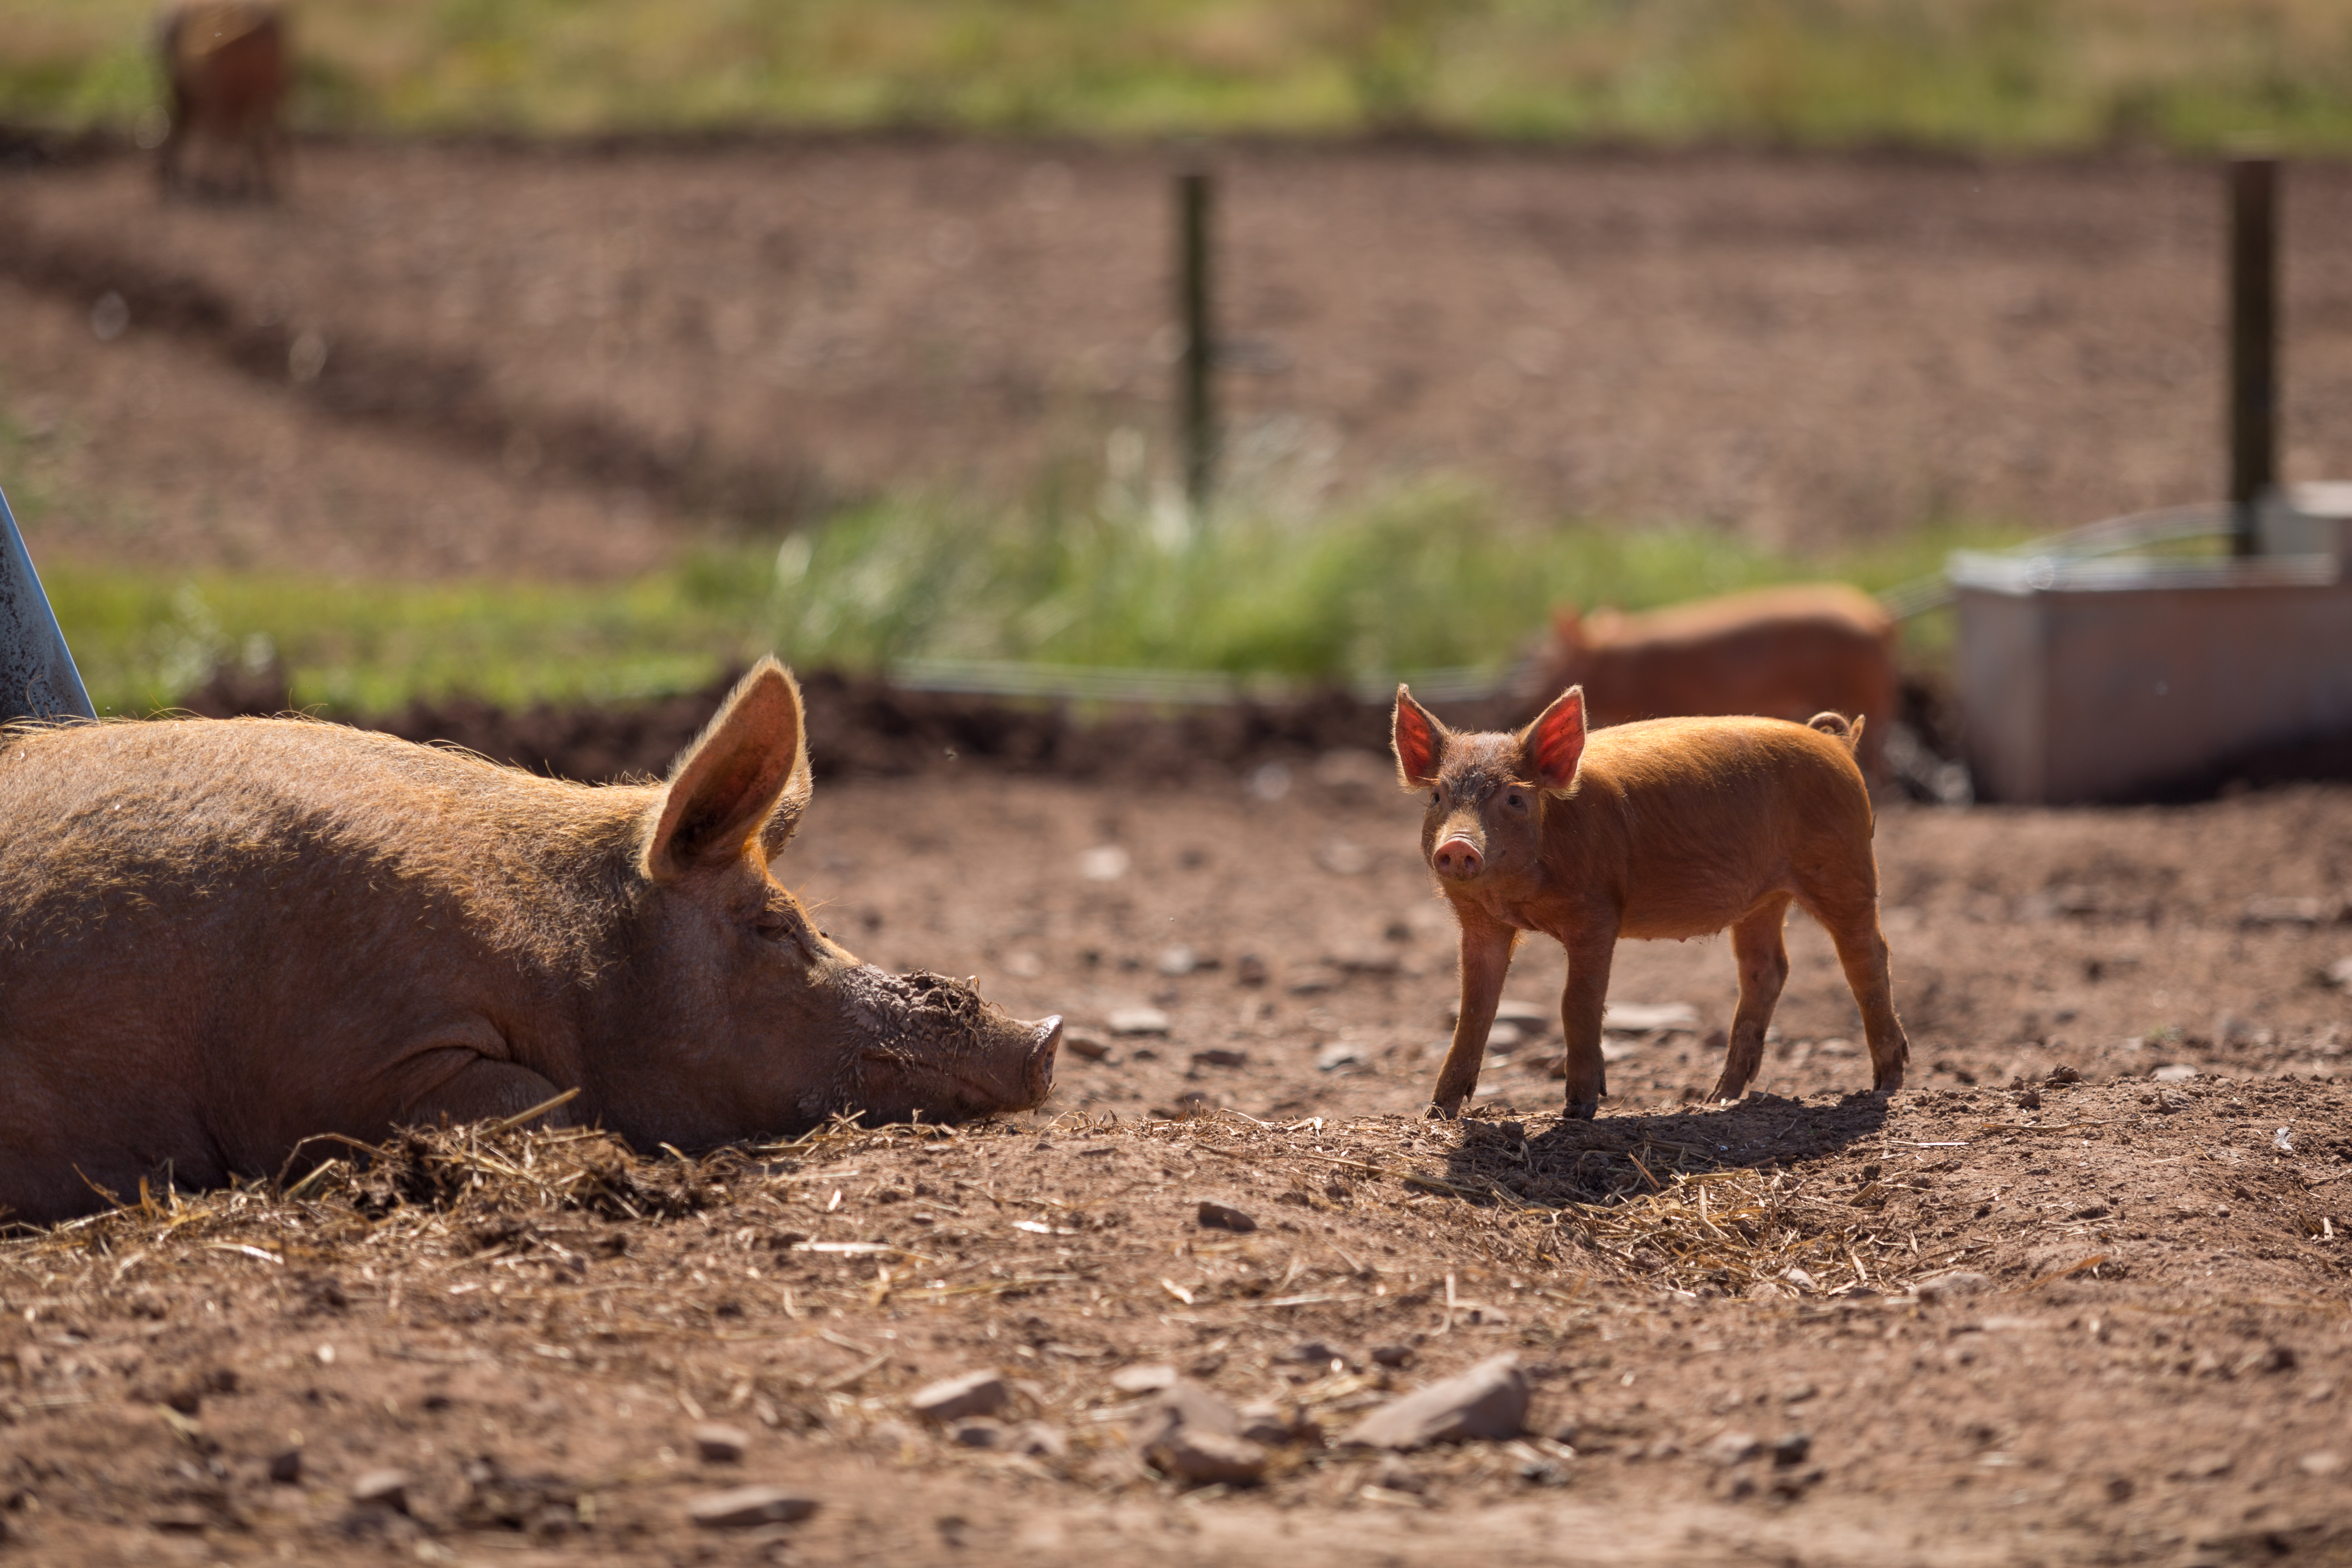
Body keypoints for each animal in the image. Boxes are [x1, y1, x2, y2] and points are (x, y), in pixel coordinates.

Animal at [1393, 683, 1907, 1120]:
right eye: (1438, 795)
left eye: (1515, 798)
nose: (1458, 845)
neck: (1518, 900)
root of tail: (1835, 744)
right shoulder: (1479, 923)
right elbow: (1473, 1010)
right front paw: (1436, 1112)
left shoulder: (1598, 914)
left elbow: (1576, 1002)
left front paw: (1578, 1110)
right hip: (1764, 899)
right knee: (1766, 971)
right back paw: (1717, 1099)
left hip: (1844, 864)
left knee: (1867, 955)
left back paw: (1885, 1084)